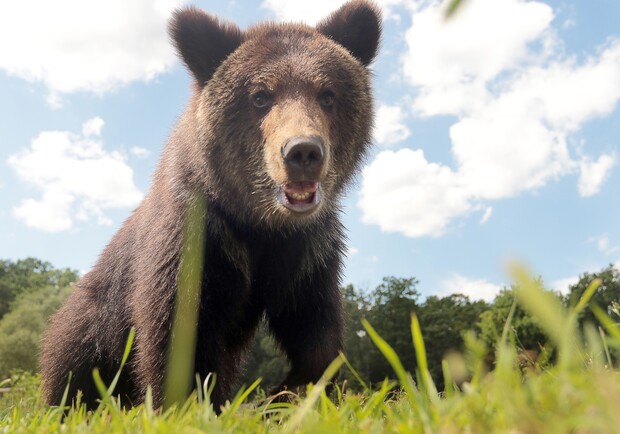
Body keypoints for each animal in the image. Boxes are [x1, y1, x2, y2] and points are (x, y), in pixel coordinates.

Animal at [41, 0, 380, 412]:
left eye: (327, 94)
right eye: (260, 96)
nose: (303, 151)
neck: (259, 222)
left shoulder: (306, 249)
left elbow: (313, 328)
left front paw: (292, 393)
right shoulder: (201, 237)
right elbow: (177, 332)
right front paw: (186, 405)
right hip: (92, 321)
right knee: (75, 367)